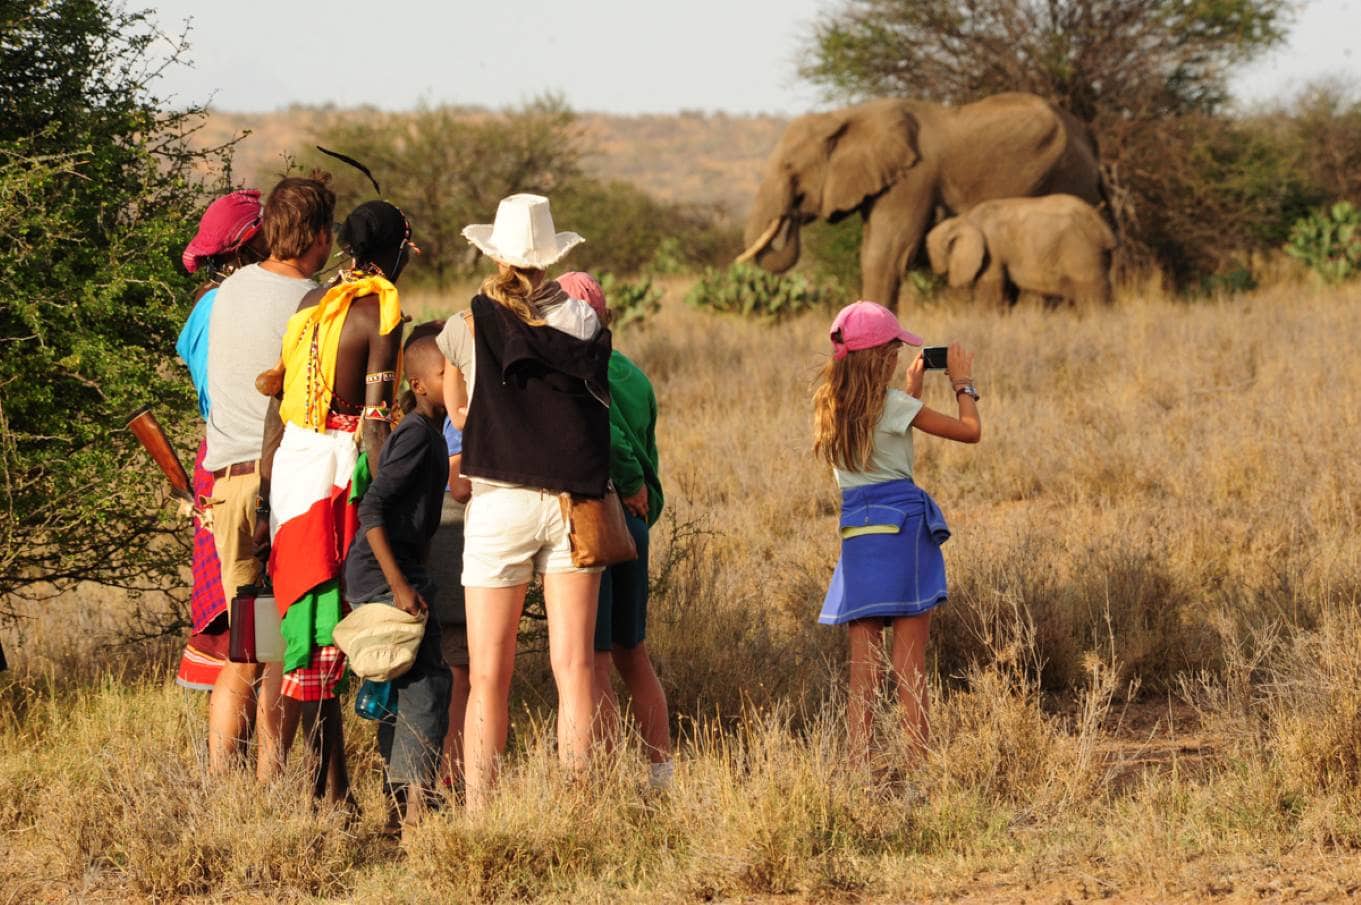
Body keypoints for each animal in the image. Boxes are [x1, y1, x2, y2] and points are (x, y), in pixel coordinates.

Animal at [925, 194, 1116, 307]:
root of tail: (1105, 230)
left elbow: (991, 292)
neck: (963, 219)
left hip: (1082, 251)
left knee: (1092, 299)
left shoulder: (993, 251)